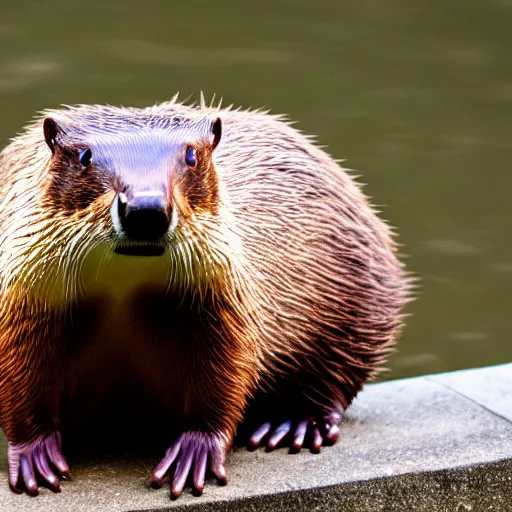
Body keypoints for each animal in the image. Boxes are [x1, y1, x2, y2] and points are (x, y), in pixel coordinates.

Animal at [0, 94, 408, 498]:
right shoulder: (22, 306)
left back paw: (293, 425)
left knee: (335, 383)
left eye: (192, 155)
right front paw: (35, 459)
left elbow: (223, 388)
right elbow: (20, 389)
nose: (146, 208)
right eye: (85, 156)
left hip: (359, 312)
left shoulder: (227, 312)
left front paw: (193, 456)